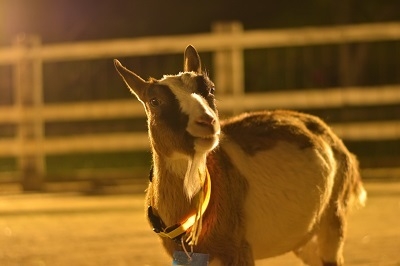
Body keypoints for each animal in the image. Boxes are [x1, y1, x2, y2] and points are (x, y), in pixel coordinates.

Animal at [114, 44, 368, 264]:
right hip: (306, 238)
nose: (207, 122)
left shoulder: (239, 249)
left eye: (211, 89)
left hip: (333, 216)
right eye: (154, 101)